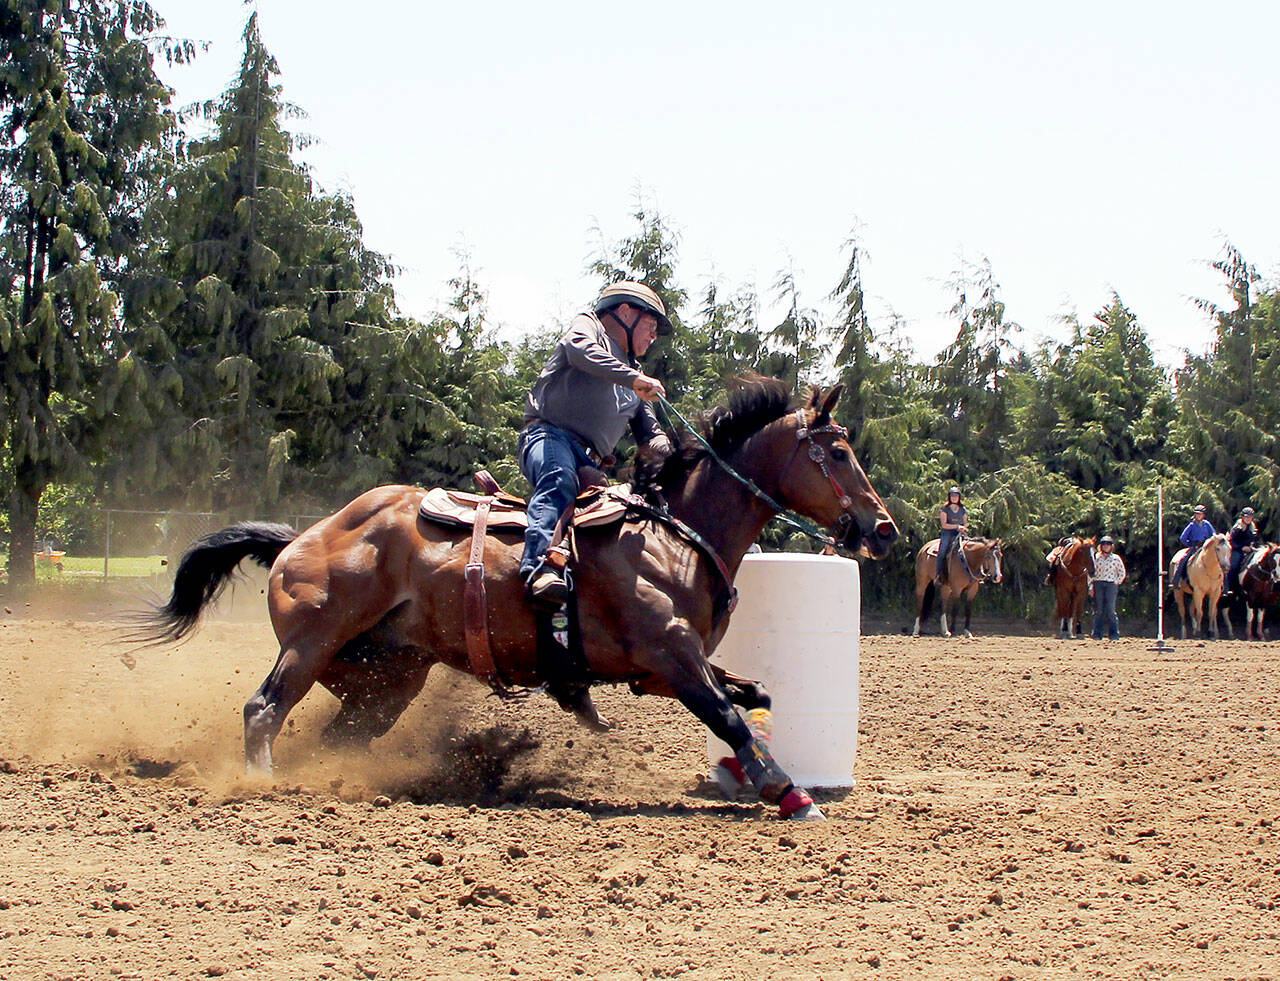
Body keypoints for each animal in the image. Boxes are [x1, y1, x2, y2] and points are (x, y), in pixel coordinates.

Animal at [139, 379, 899, 820]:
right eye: (835, 452)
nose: (883, 528)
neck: (674, 533)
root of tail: (306, 535)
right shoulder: (672, 658)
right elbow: (729, 715)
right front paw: (790, 791)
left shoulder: (663, 669)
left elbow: (755, 695)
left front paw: (752, 773)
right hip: (311, 643)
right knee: (263, 709)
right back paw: (262, 783)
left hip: (387, 677)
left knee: (339, 734)